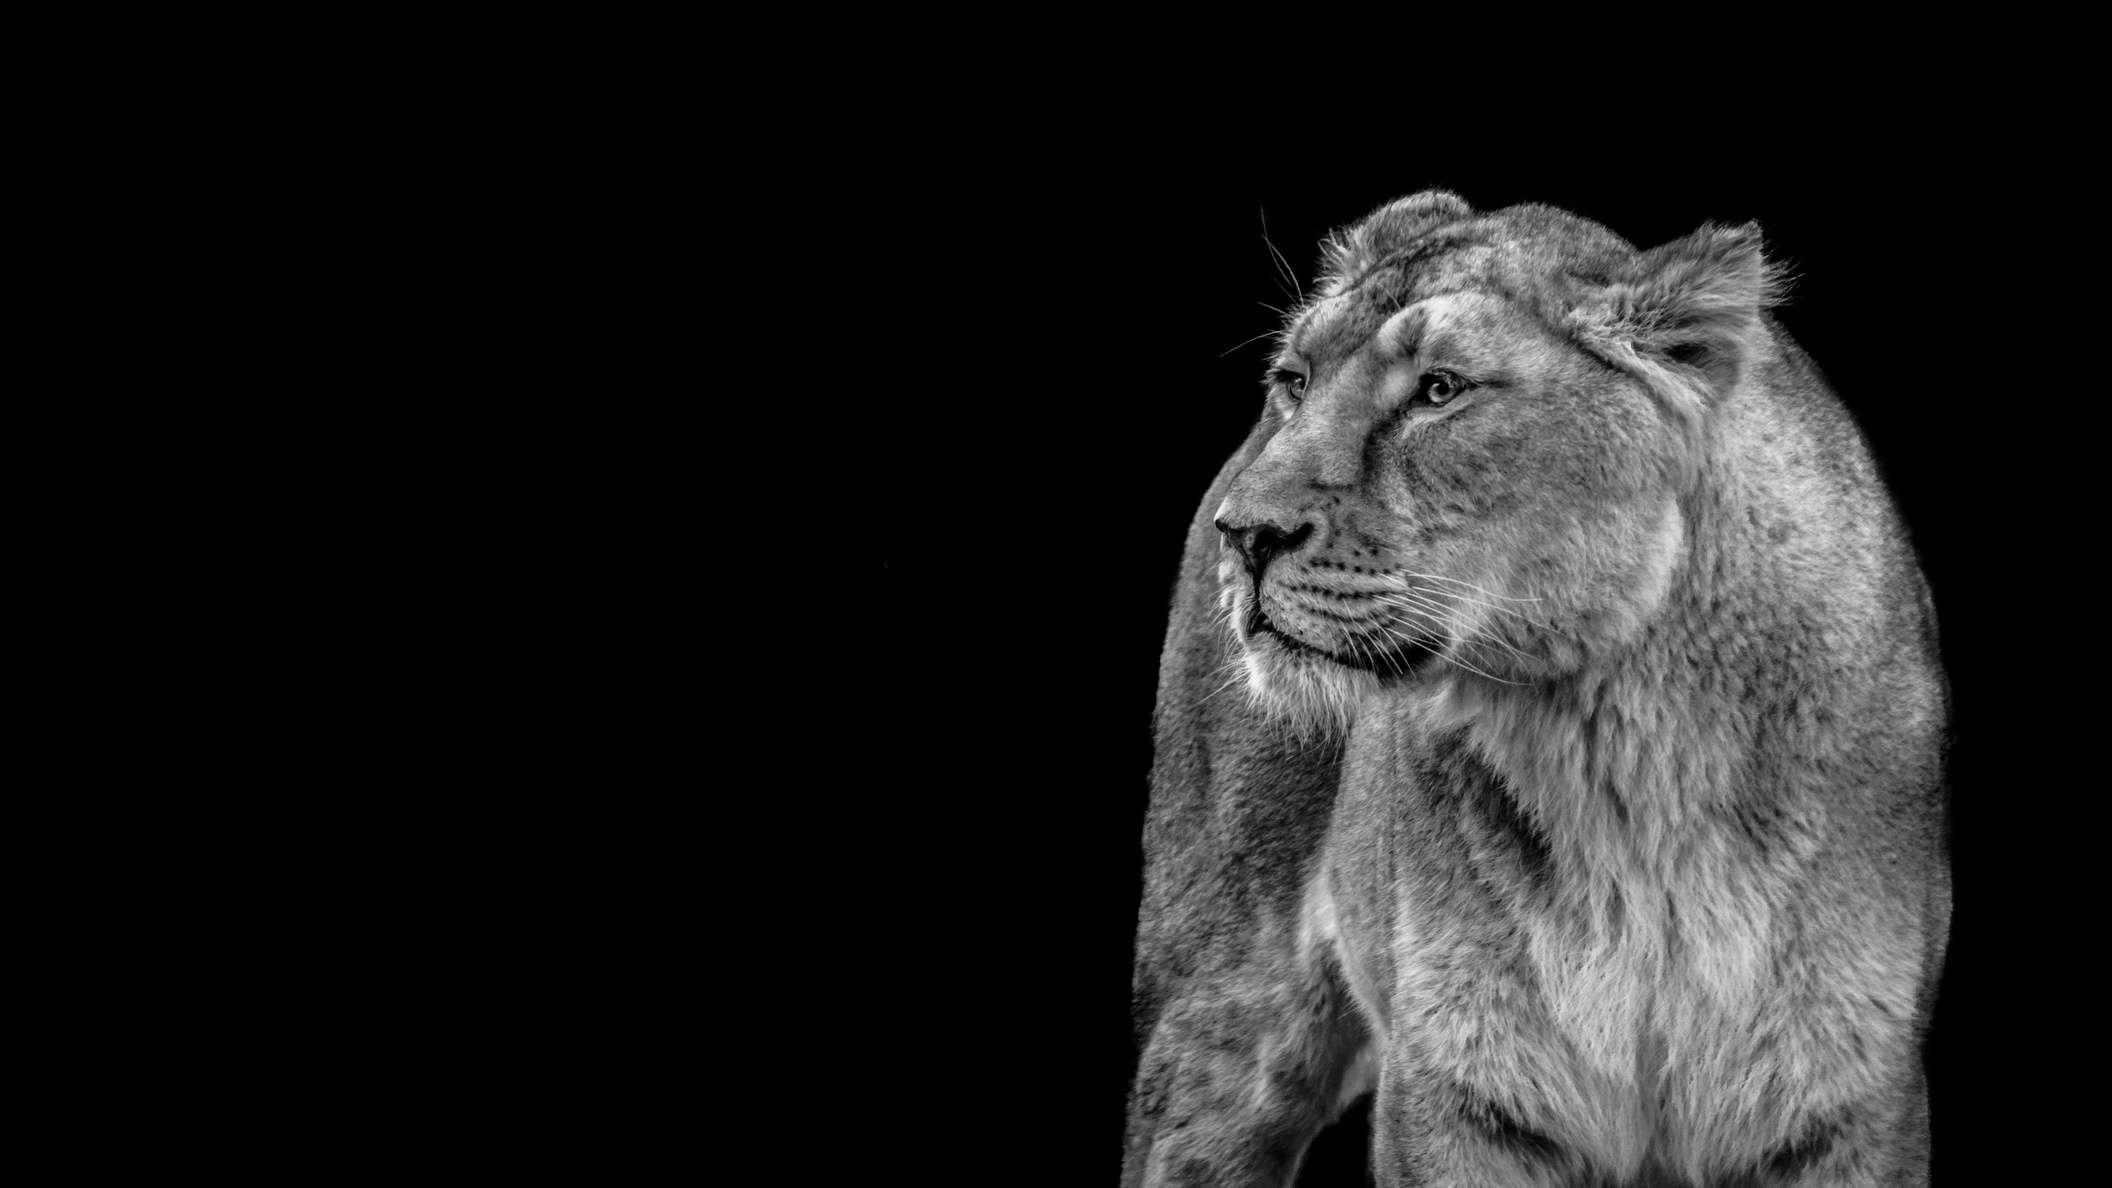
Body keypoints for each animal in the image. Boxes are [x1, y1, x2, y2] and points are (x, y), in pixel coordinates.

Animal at [1123, 192, 1949, 1187]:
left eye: (1440, 391)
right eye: (1294, 380)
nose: (1242, 534)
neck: (1622, 744)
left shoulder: (1852, 1101)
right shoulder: (1460, 1092)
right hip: (1217, 1019)